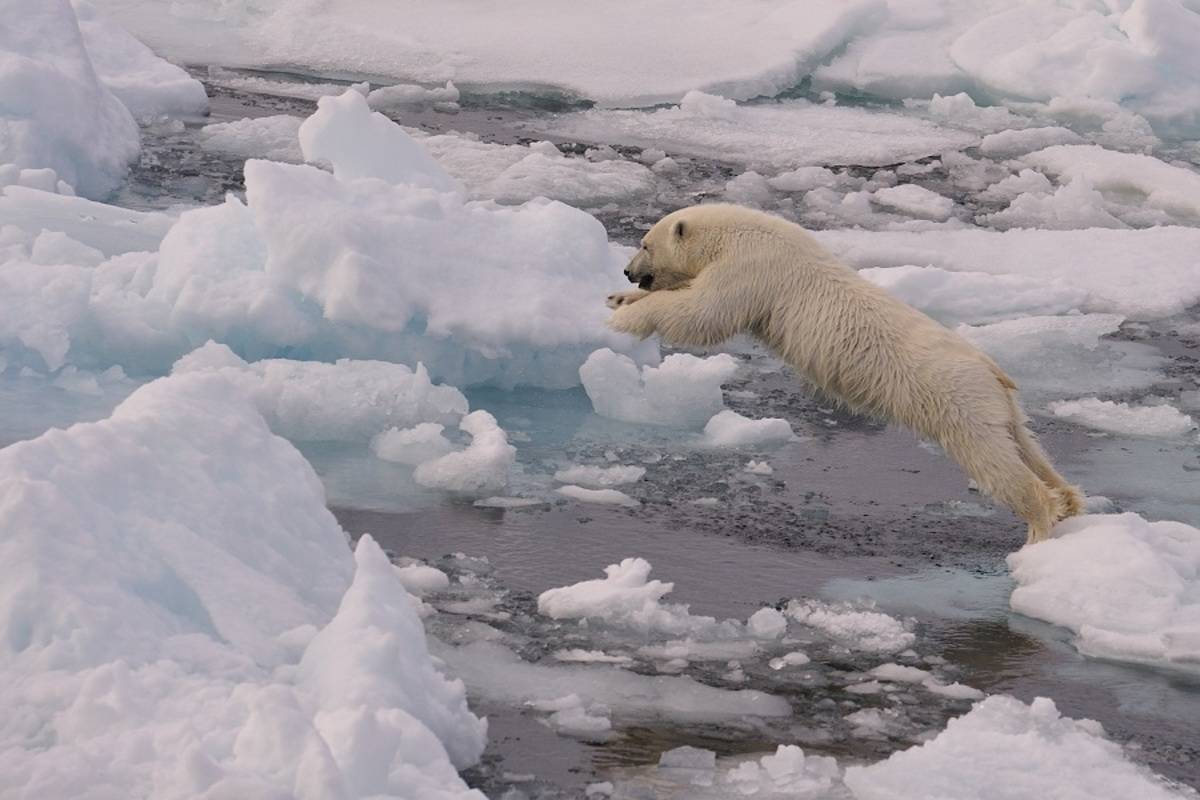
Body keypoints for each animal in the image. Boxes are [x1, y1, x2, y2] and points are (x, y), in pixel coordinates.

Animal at [604, 203, 1084, 546]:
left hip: (956, 400)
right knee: (1025, 445)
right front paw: (617, 298)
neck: (733, 233)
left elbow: (702, 312)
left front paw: (625, 317)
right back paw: (1068, 500)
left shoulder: (751, 269)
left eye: (645, 243)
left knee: (994, 461)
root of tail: (992, 371)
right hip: (996, 404)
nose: (627, 271)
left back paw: (1038, 527)